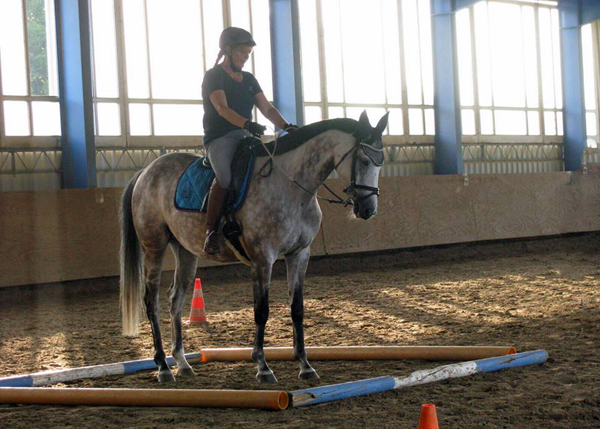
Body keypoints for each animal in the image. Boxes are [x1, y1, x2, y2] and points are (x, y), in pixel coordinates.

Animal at [119, 109, 390, 382]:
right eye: (364, 161)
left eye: (380, 163)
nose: (368, 210)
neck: (291, 186)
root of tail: (145, 172)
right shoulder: (263, 258)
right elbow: (262, 310)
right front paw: (262, 366)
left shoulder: (299, 254)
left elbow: (297, 309)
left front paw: (305, 365)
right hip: (154, 245)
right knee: (151, 301)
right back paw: (163, 366)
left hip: (185, 251)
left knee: (176, 298)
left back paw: (183, 363)